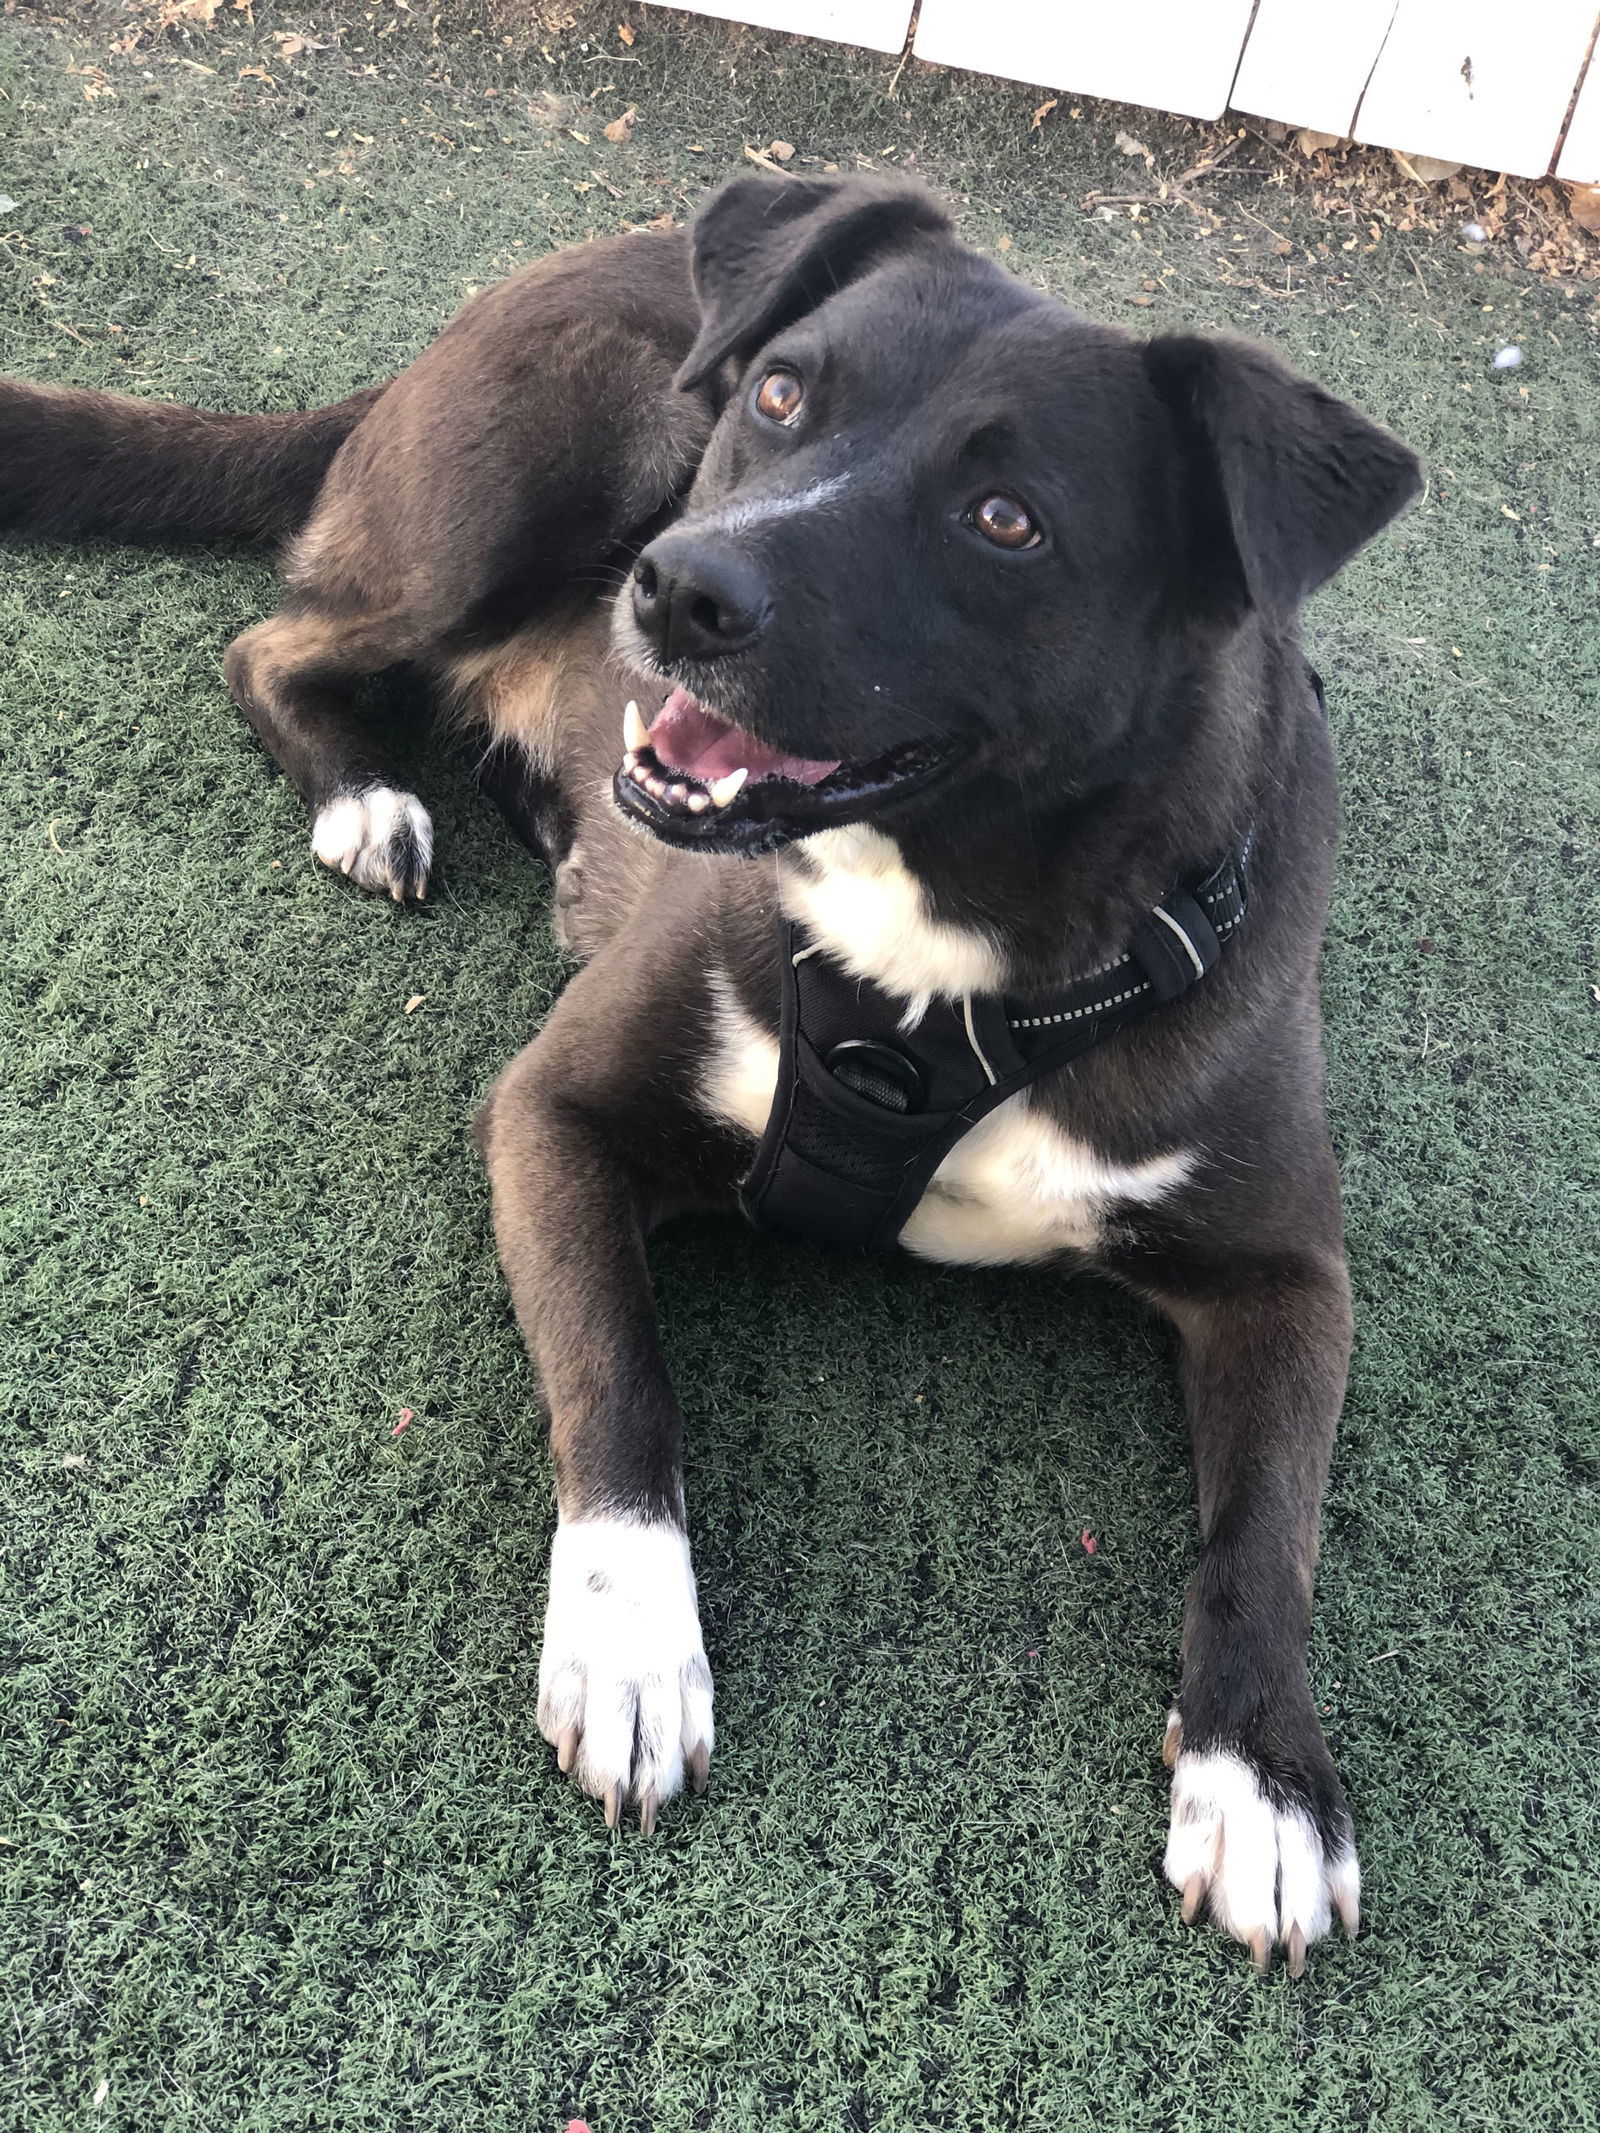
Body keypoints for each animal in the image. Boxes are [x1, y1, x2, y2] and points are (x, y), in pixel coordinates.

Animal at [3, 174, 1425, 1970]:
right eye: (782, 396)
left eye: (1008, 519)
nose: (680, 590)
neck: (951, 950)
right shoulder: (553, 1112)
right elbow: (622, 1376)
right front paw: (628, 1645)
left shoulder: (1286, 1276)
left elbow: (1267, 1535)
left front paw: (1264, 1777)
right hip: (525, 487)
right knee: (275, 641)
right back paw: (366, 797)